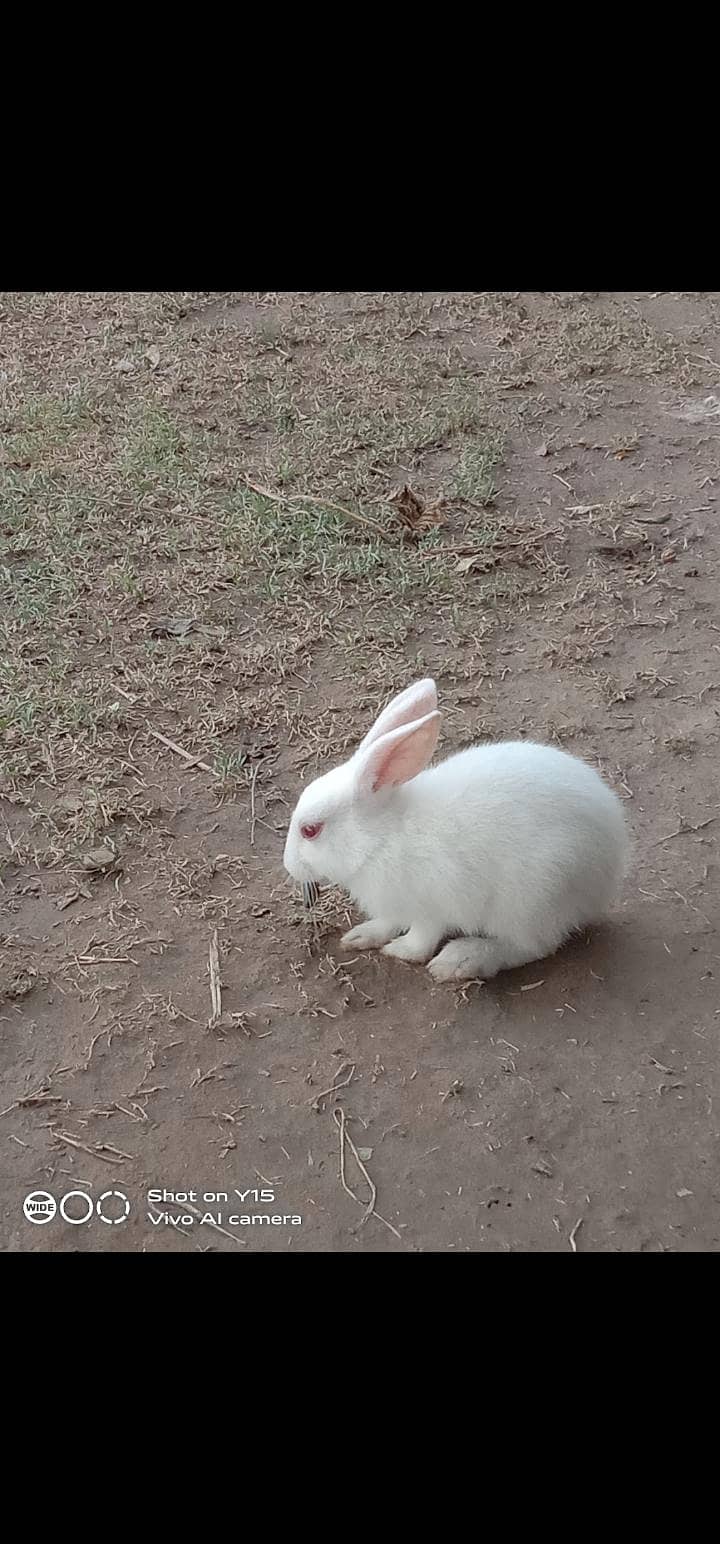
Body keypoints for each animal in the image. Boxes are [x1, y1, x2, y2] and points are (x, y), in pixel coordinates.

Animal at [283, 678, 629, 982]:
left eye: (310, 830)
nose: (288, 865)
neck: (380, 839)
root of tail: (609, 872)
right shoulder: (395, 906)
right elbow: (387, 922)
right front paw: (361, 936)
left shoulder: (430, 906)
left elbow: (422, 938)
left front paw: (401, 952)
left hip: (531, 897)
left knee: (532, 946)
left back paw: (460, 961)